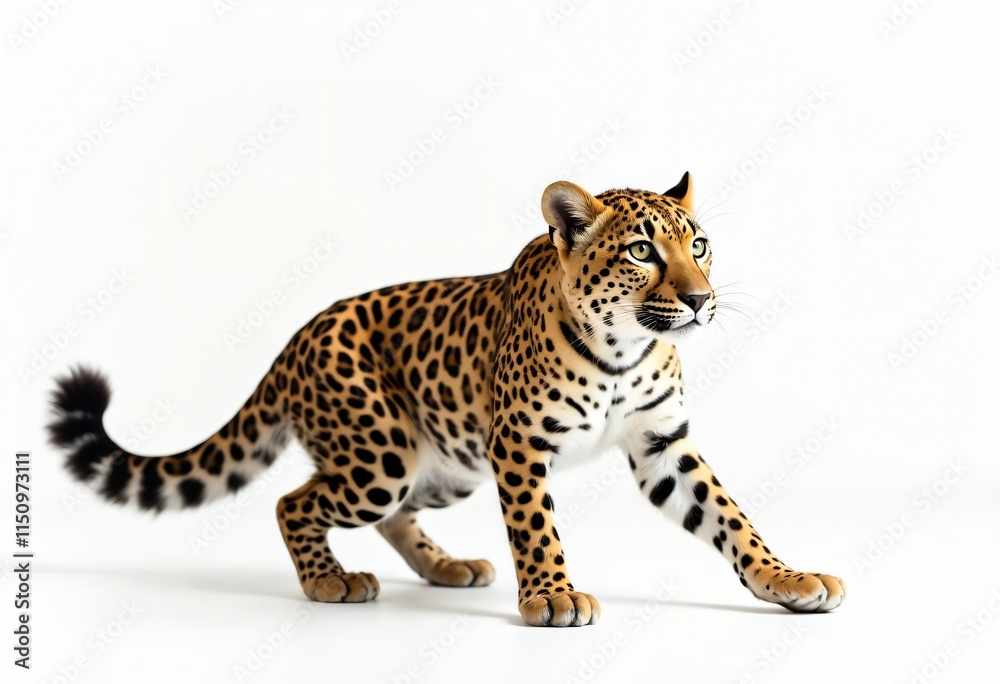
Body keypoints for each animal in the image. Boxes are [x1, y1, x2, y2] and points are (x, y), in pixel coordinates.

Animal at [48, 173, 845, 627]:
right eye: (642, 251)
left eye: (699, 245)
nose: (701, 299)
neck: (624, 351)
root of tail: (293, 340)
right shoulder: (518, 444)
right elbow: (536, 527)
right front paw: (553, 596)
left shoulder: (662, 445)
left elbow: (731, 519)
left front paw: (787, 580)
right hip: (382, 456)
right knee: (293, 501)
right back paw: (330, 581)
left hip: (445, 466)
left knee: (391, 515)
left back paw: (446, 568)